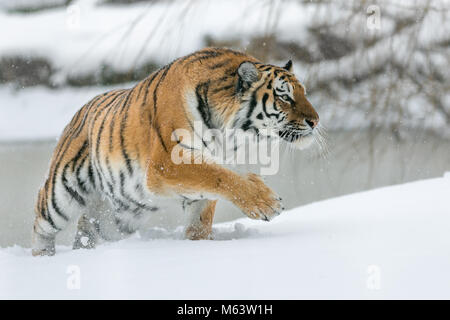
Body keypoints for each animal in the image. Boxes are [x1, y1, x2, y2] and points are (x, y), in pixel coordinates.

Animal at [31, 47, 318, 256]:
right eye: (285, 97)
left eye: (304, 92)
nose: (315, 121)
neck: (229, 135)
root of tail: (80, 111)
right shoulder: (167, 163)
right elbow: (217, 176)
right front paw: (266, 202)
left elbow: (205, 209)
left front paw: (198, 242)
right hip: (62, 193)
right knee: (42, 223)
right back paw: (43, 259)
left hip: (118, 215)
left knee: (87, 225)